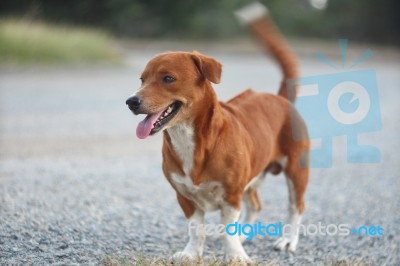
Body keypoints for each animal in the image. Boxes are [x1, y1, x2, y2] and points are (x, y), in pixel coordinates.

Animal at [126, 3, 310, 262]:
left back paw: (287, 240)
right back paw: (245, 236)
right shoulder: (184, 197)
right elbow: (196, 229)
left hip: (296, 169)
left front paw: (235, 256)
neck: (189, 140)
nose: (131, 101)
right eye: (142, 79)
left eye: (168, 78)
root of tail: (280, 97)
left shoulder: (231, 195)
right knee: (255, 205)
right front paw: (192, 253)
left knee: (296, 207)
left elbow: (227, 230)